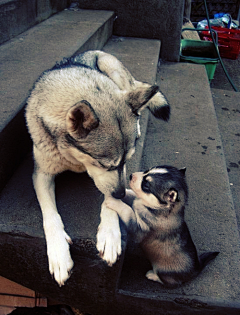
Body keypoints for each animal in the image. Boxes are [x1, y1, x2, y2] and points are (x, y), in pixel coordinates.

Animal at [25, 49, 170, 286]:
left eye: (125, 161)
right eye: (104, 164)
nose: (122, 194)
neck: (74, 160)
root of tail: (95, 50)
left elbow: (109, 198)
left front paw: (110, 234)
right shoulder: (41, 175)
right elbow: (50, 215)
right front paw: (58, 253)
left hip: (113, 70)